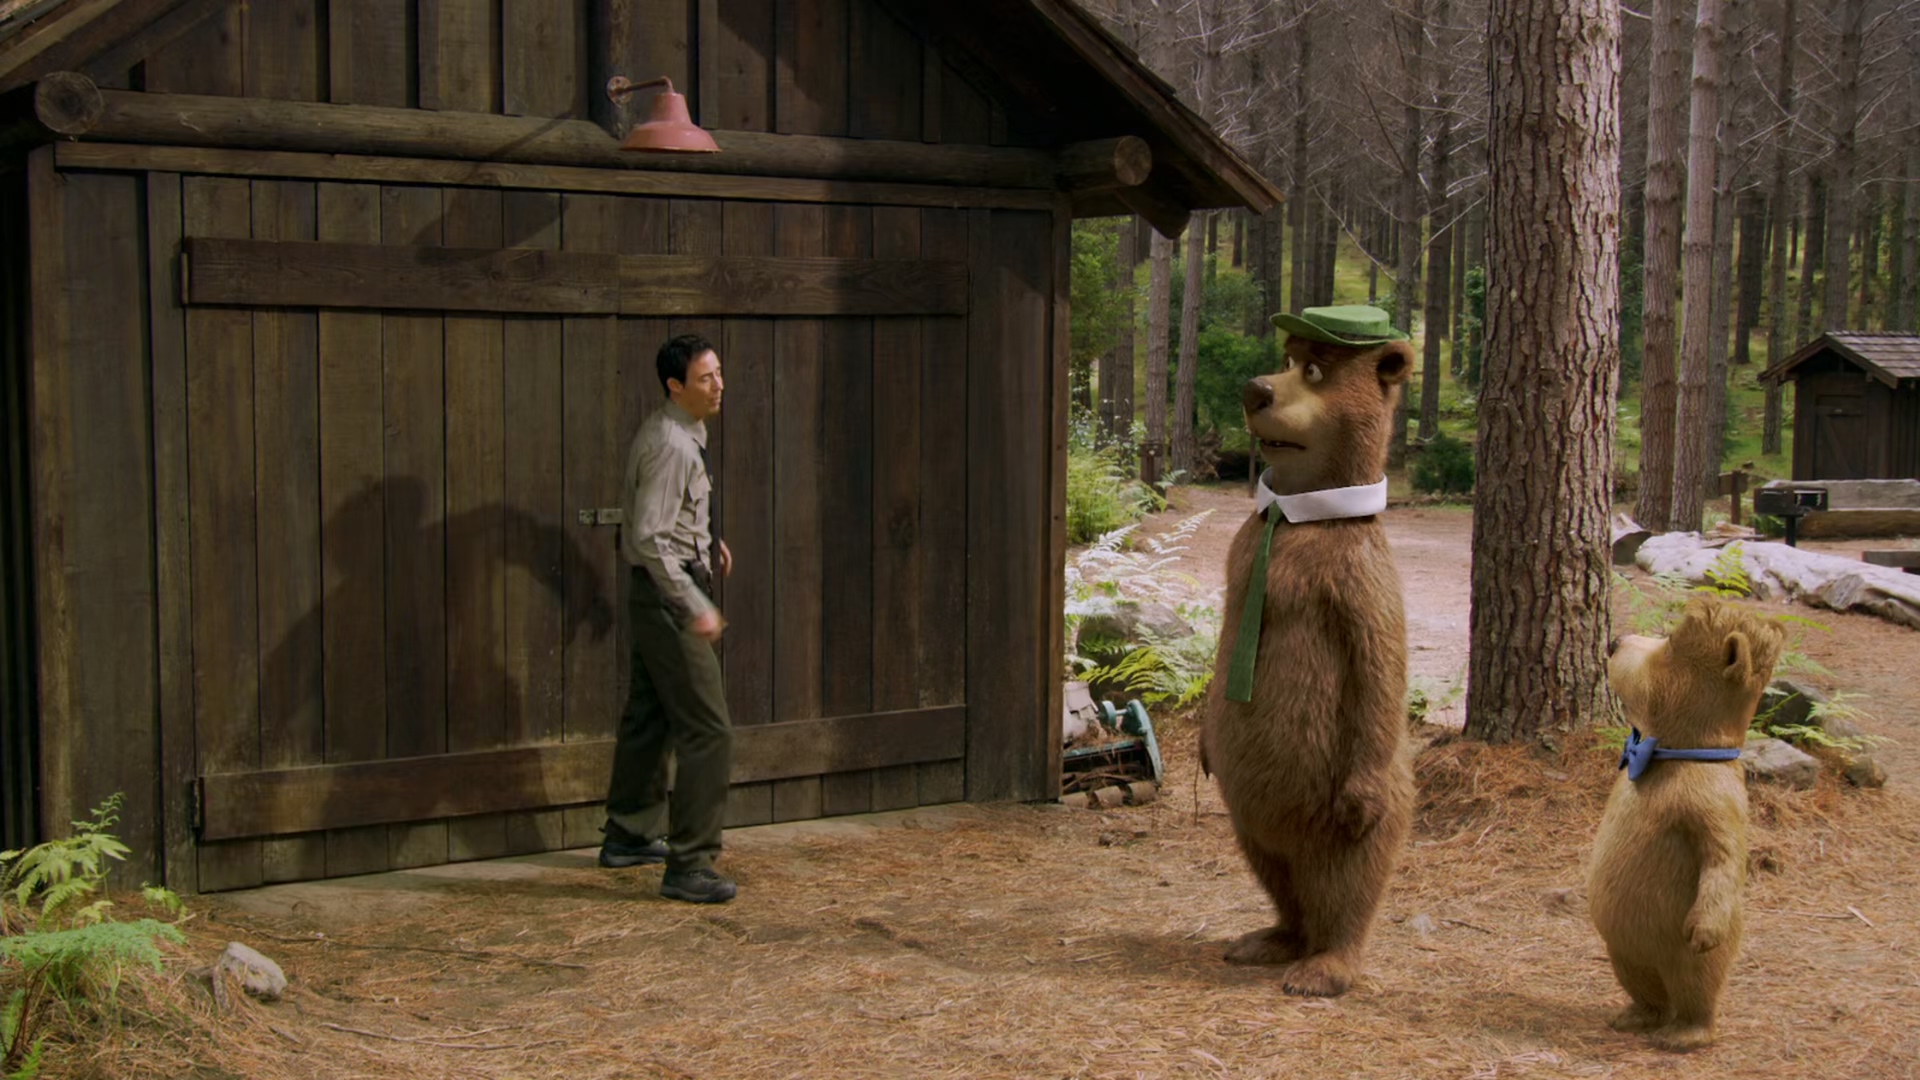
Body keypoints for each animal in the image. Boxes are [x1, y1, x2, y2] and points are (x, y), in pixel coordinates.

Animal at [1200, 304, 1415, 998]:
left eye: (1317, 370)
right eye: (1287, 357)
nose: (1255, 389)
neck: (1290, 518)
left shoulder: (1360, 576)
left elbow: (1379, 660)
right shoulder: (1242, 553)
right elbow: (1228, 624)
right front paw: (1203, 747)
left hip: (1349, 811)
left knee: (1348, 880)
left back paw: (1323, 969)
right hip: (1248, 818)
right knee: (1277, 872)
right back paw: (1267, 940)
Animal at [1589, 594, 1786, 1052]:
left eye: (1672, 643)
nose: (1614, 641)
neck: (1670, 754)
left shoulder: (1719, 803)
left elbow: (1724, 856)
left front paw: (1703, 930)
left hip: (1689, 963)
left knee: (1697, 991)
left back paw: (1684, 1036)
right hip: (1624, 952)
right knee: (1647, 988)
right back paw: (1635, 1017)